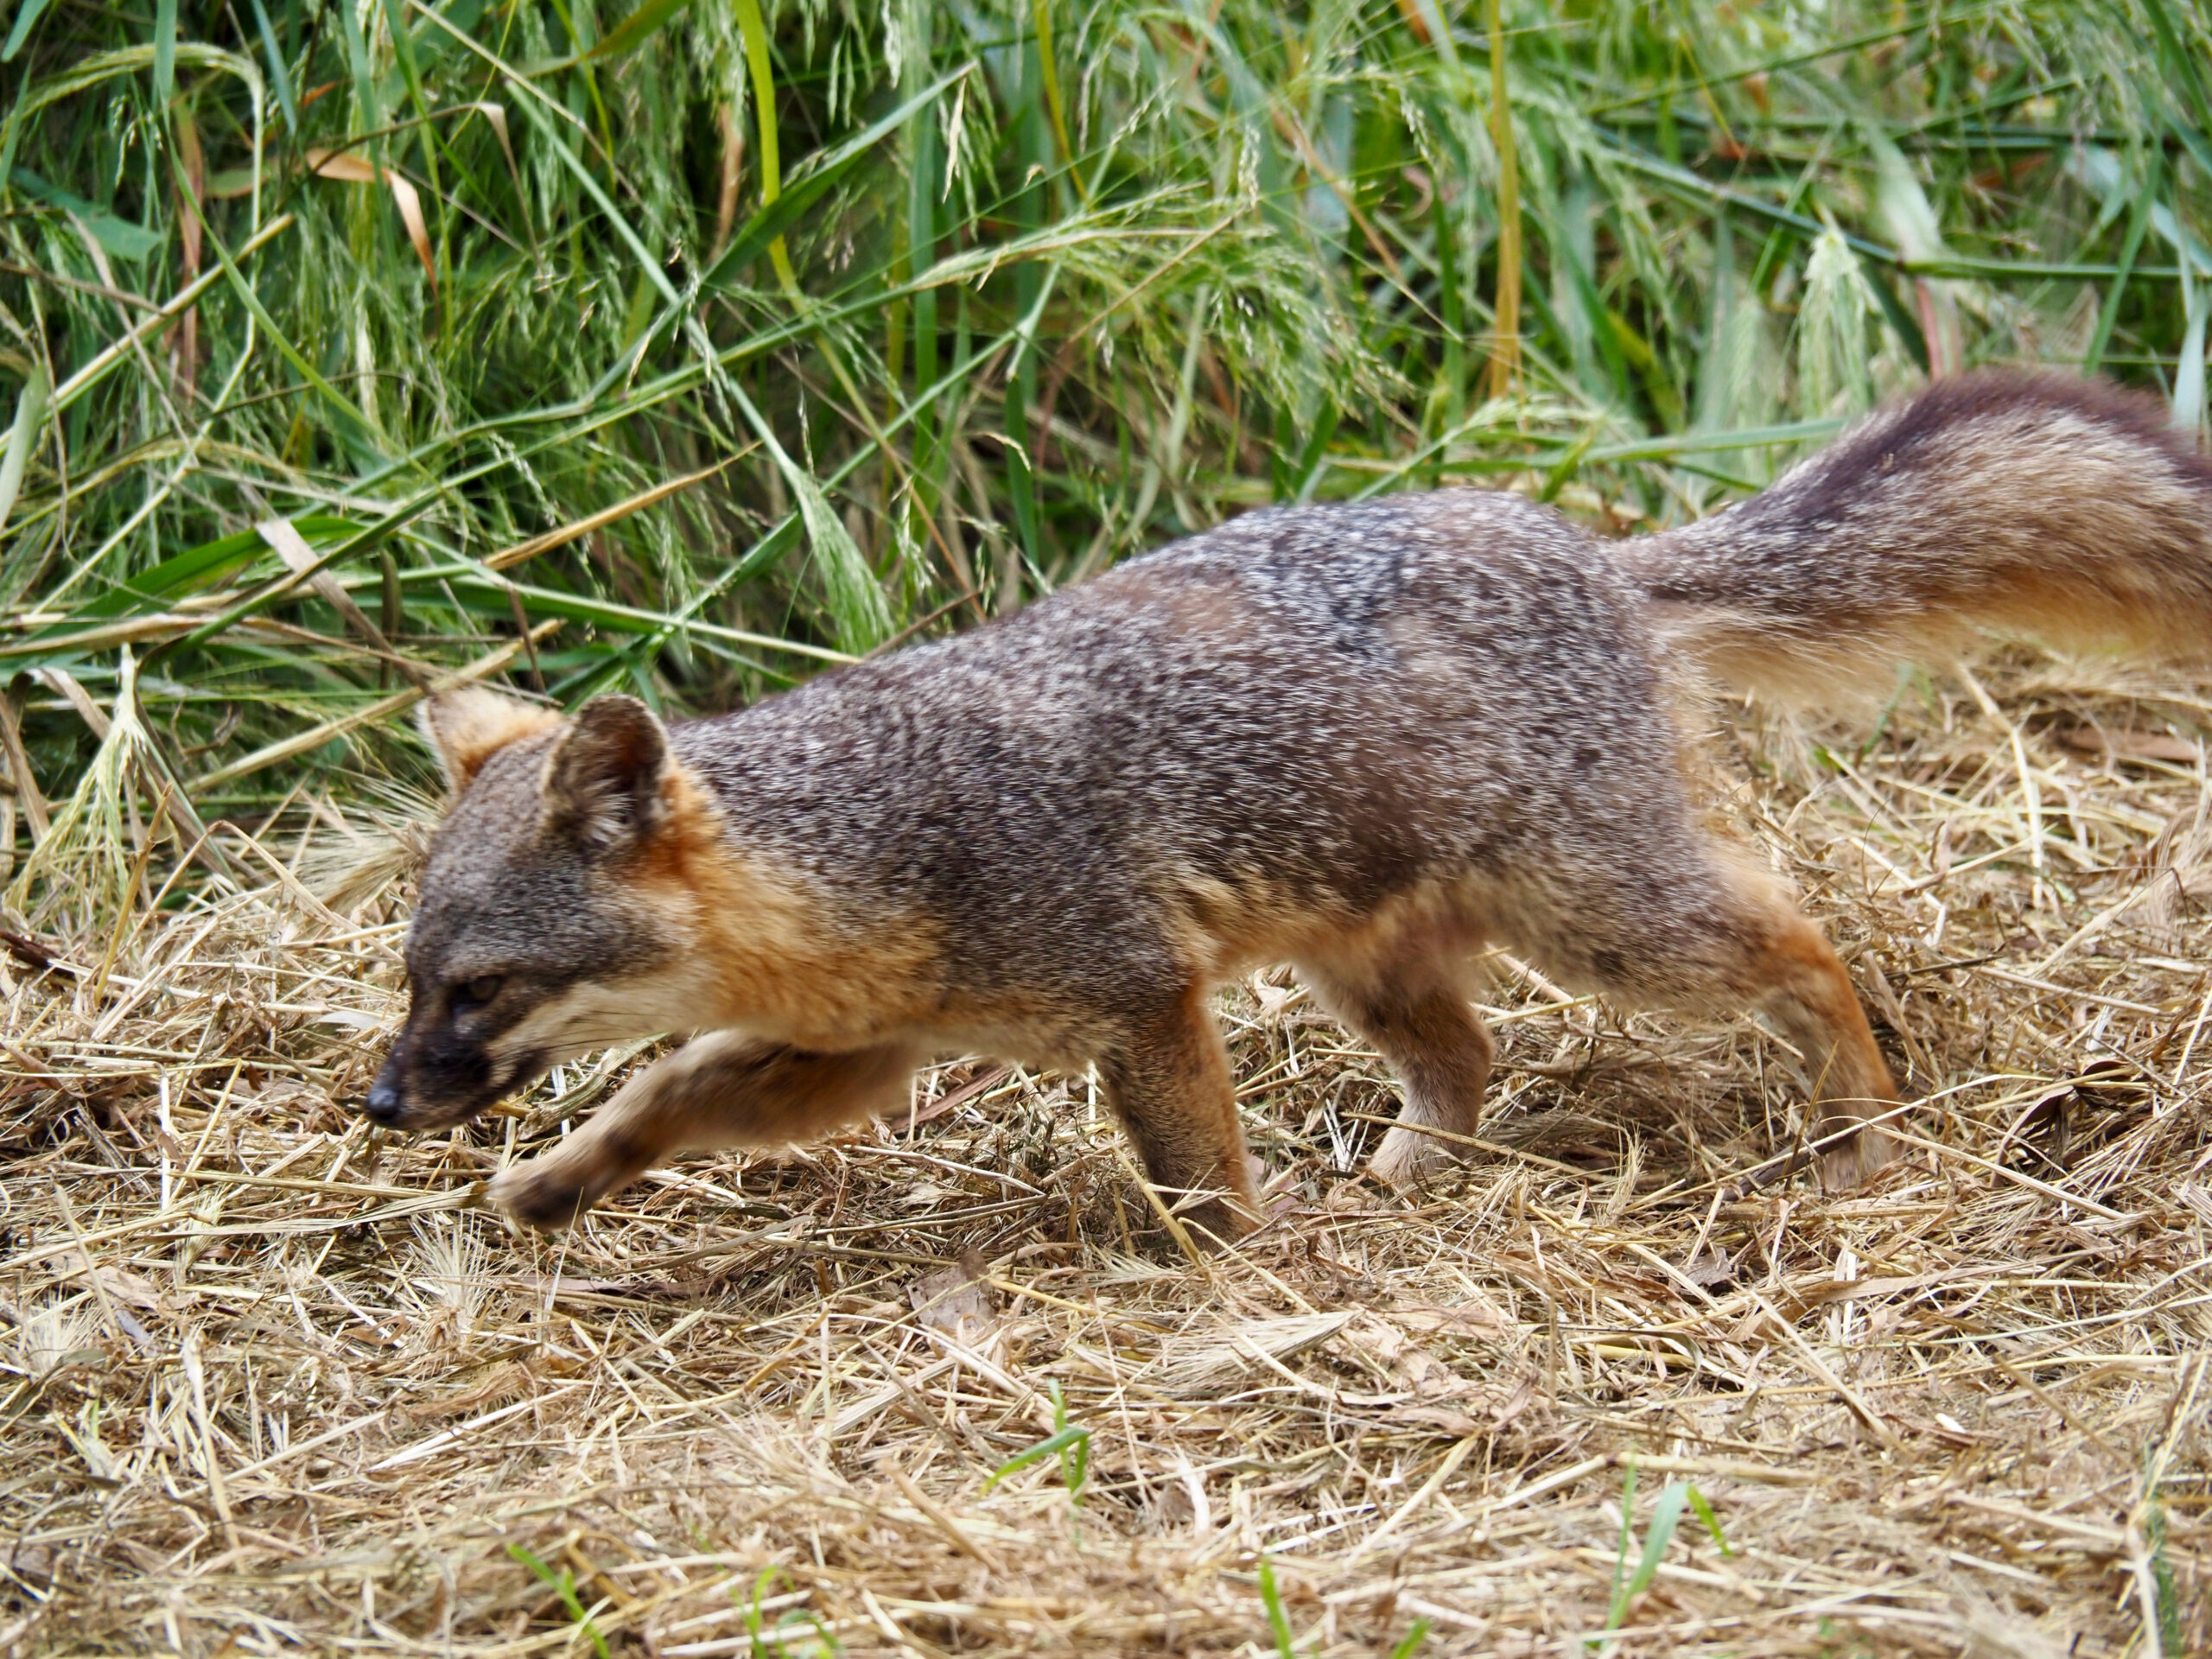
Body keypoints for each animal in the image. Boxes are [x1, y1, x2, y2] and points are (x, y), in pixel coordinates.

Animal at [362, 370, 2212, 1244]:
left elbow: (1193, 1171)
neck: (877, 837)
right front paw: (562, 1184)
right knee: (1468, 1063)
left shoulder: (1137, 996)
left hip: (1606, 927)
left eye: (482, 991)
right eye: (412, 979)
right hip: (1370, 961)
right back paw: (1395, 1185)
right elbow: (667, 1091)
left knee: (1805, 940)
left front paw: (1236, 1267)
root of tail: (1600, 556)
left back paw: (1863, 1125)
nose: (380, 1105)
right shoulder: (863, 1047)